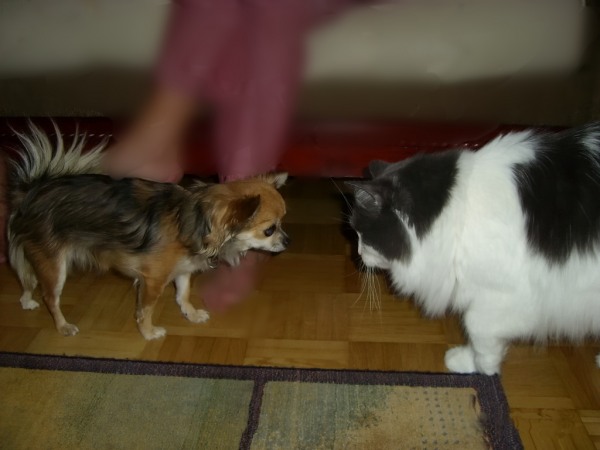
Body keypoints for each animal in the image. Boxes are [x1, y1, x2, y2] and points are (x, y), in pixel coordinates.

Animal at [6, 122, 290, 340]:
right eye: (269, 230)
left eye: (282, 223)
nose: (289, 241)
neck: (198, 220)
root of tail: (30, 191)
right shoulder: (153, 279)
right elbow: (146, 309)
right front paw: (149, 332)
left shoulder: (183, 269)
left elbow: (183, 294)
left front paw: (191, 314)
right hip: (55, 266)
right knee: (50, 297)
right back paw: (63, 326)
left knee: (27, 278)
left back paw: (26, 301)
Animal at [346, 121, 600, 375]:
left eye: (362, 234)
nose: (357, 253)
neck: (456, 214)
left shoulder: (511, 295)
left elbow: (477, 329)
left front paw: (480, 368)